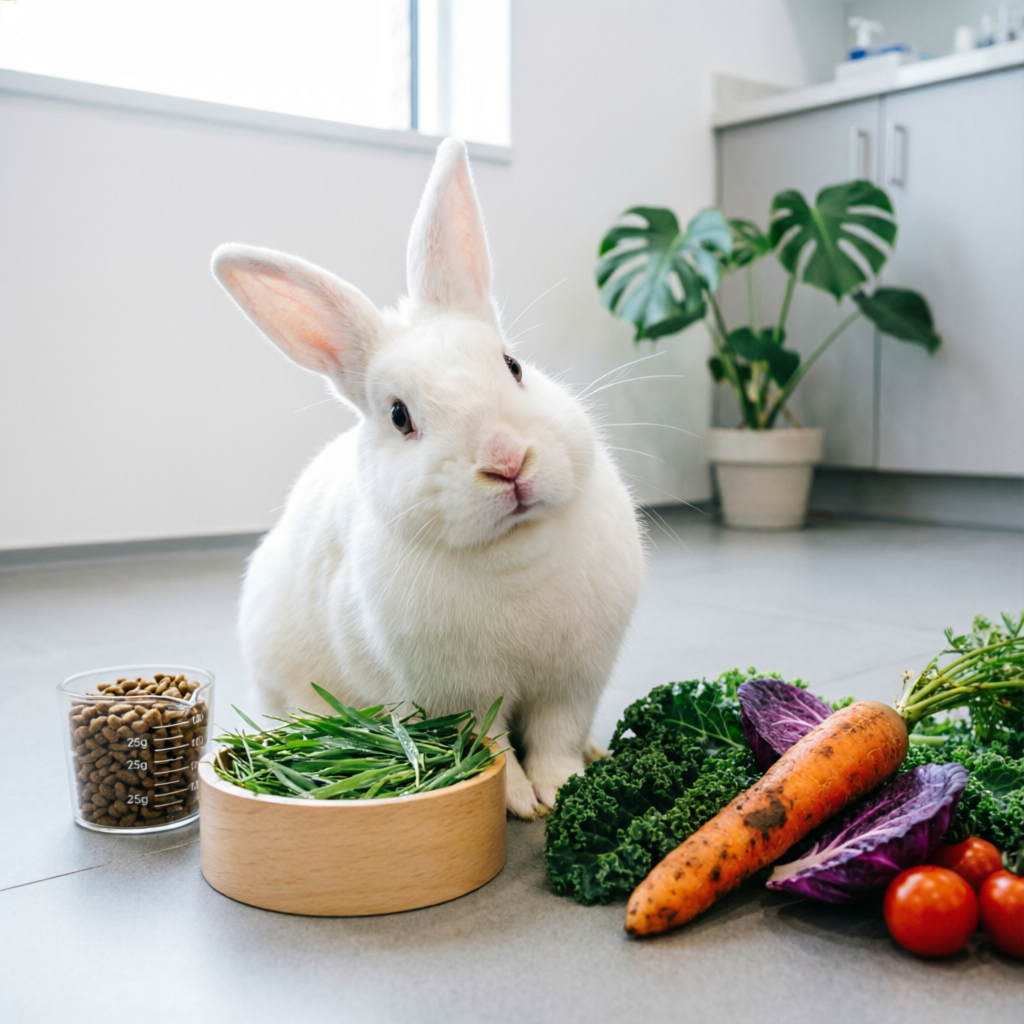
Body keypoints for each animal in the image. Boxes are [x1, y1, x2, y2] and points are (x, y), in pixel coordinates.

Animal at [211, 138, 645, 819]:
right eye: (399, 416)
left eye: (513, 365)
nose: (507, 462)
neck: (513, 550)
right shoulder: (457, 699)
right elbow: (493, 751)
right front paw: (521, 803)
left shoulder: (571, 684)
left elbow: (555, 739)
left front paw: (560, 790)